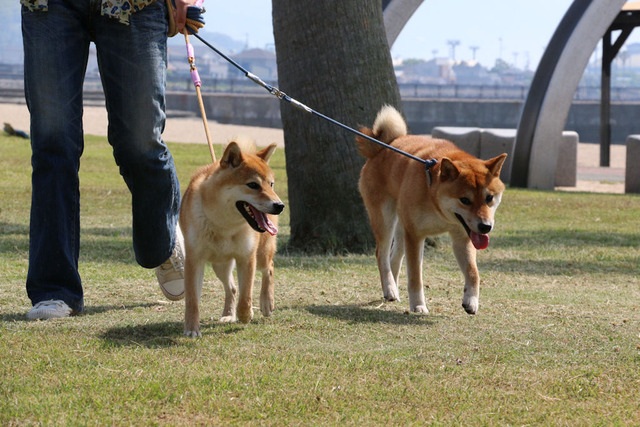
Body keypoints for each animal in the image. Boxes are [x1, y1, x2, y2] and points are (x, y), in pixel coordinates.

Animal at [178, 138, 282, 338]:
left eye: (271, 184)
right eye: (253, 185)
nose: (279, 205)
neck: (223, 226)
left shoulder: (247, 258)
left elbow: (246, 295)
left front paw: (246, 314)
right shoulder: (194, 260)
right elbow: (192, 300)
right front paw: (191, 328)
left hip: (261, 254)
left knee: (269, 269)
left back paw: (266, 302)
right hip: (220, 265)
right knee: (232, 288)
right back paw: (228, 314)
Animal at [356, 106, 504, 314]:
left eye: (489, 198)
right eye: (465, 200)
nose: (485, 227)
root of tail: (381, 148)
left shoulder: (462, 237)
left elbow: (473, 272)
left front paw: (471, 300)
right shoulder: (415, 236)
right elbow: (415, 276)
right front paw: (418, 305)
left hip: (402, 228)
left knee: (395, 256)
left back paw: (392, 288)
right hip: (386, 220)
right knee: (382, 255)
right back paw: (390, 289)